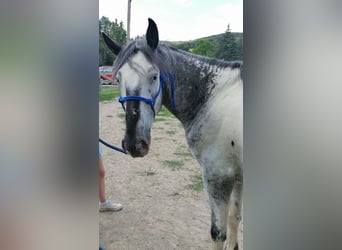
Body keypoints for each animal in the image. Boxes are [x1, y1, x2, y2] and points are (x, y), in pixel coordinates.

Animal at [102, 18, 243, 250]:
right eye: (118, 77)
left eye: (154, 75)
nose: (134, 144)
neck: (213, 97)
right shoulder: (238, 177)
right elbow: (234, 219)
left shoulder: (218, 178)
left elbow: (218, 234)